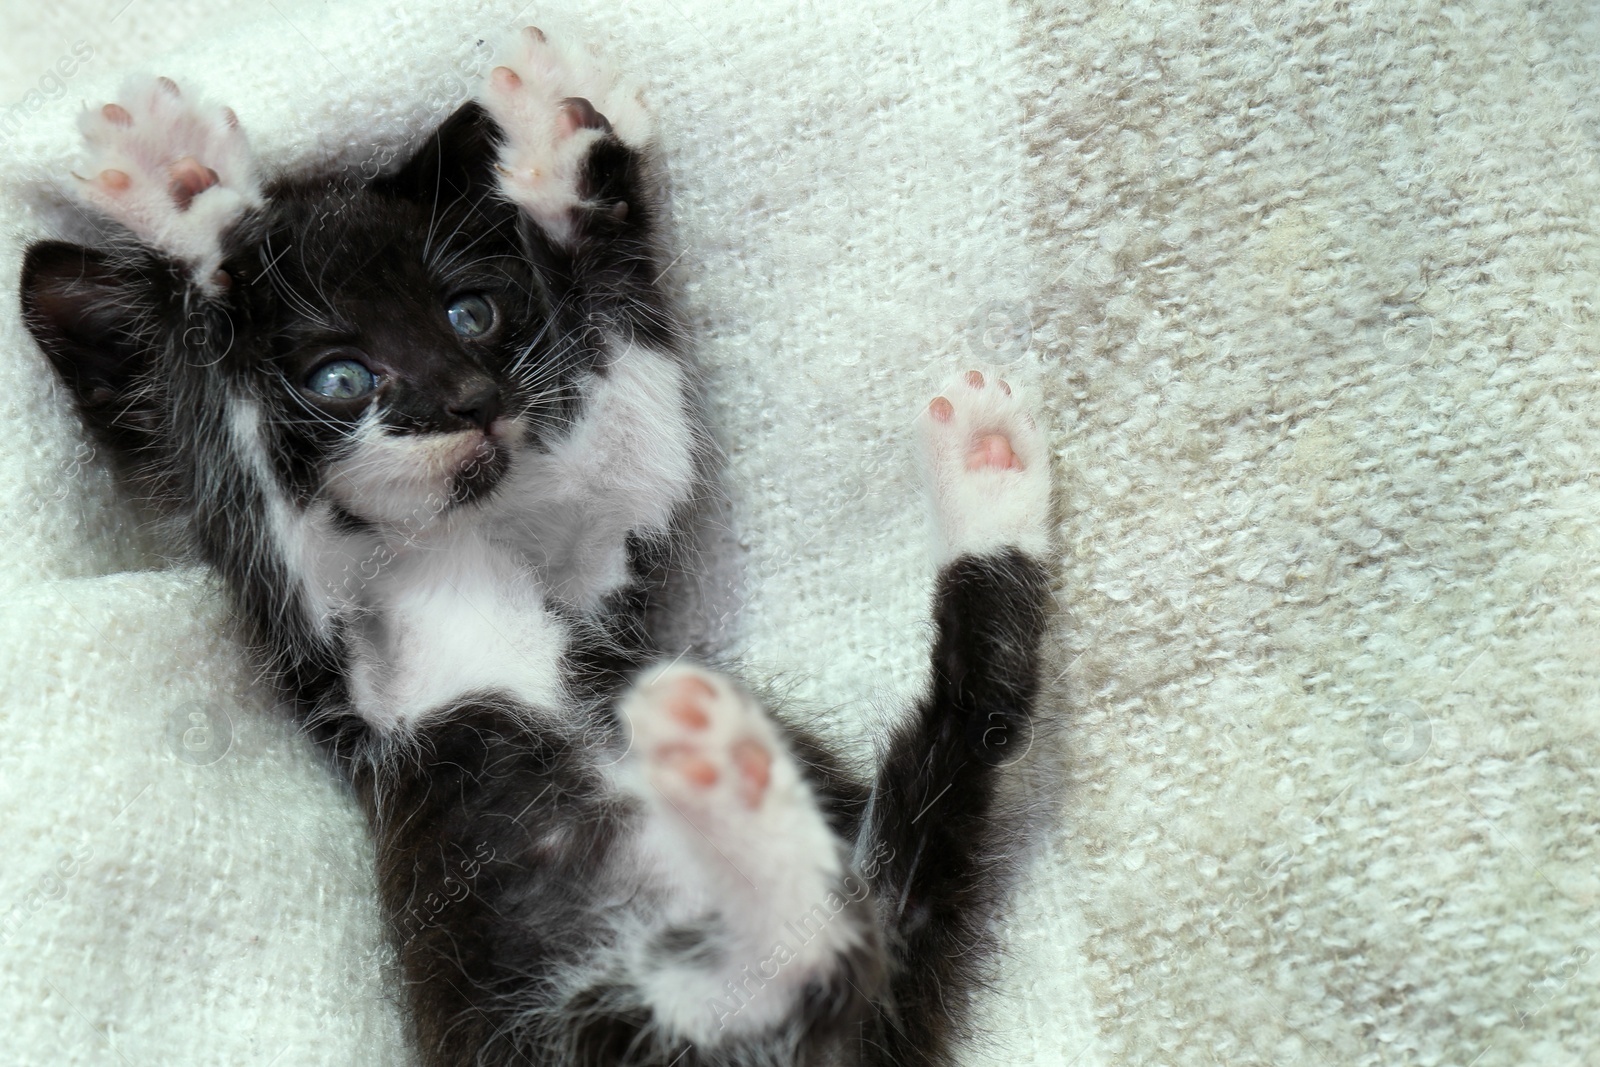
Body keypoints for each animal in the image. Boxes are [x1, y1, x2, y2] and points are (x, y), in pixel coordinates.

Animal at [21, 29, 1062, 1067]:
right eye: (341, 378)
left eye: (469, 315)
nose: (473, 399)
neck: (449, 548)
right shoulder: (307, 628)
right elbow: (230, 419)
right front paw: (186, 188)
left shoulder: (595, 581)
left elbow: (640, 427)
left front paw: (567, 155)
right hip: (559, 1035)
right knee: (792, 970)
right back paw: (739, 787)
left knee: (957, 750)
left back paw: (984, 482)